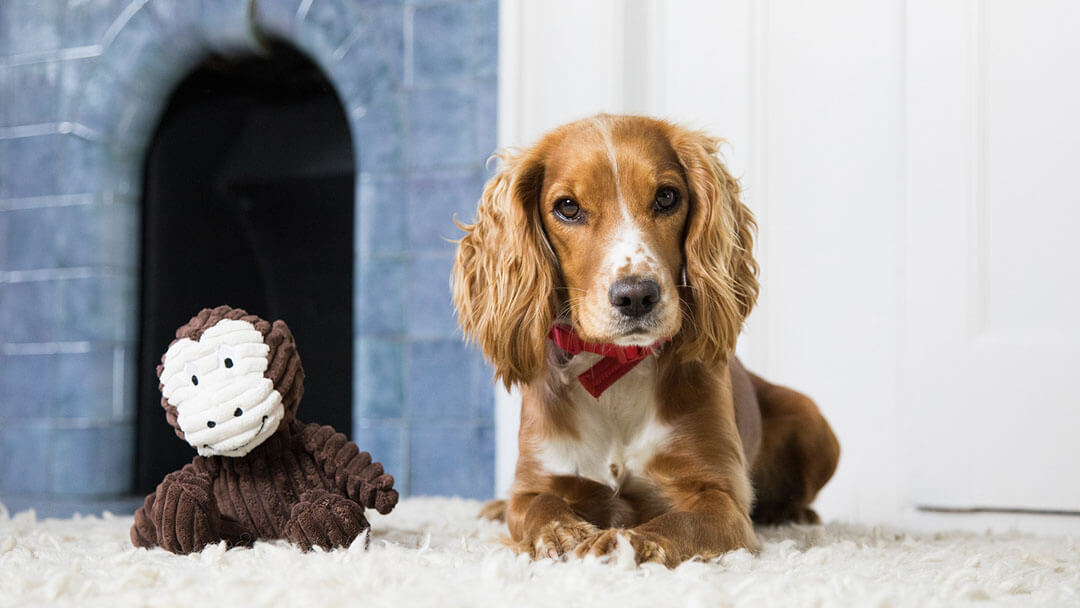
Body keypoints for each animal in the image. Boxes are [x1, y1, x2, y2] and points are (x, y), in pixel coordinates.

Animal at [451, 112, 838, 565]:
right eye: (568, 207)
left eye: (667, 197)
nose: (636, 295)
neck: (614, 369)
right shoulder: (540, 478)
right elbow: (537, 507)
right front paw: (564, 534)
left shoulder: (721, 497)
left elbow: (678, 522)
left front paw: (622, 542)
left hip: (812, 419)